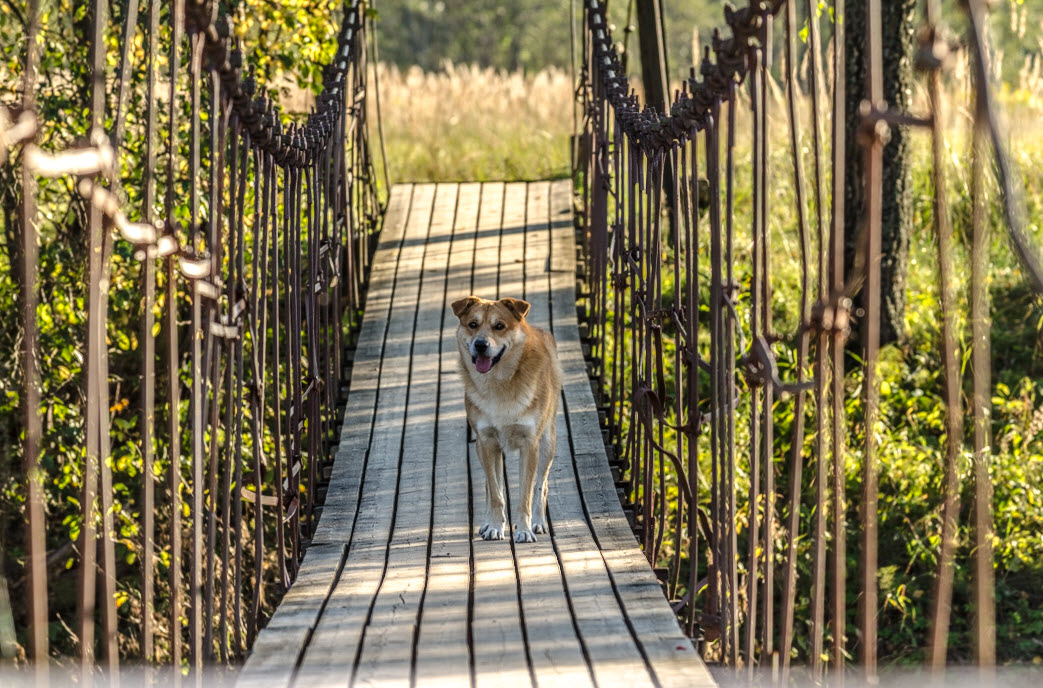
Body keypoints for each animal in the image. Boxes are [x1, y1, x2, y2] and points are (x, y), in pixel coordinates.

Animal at [450, 296, 563, 542]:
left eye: (499, 326)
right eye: (472, 324)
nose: (480, 344)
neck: (499, 383)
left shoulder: (530, 445)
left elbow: (525, 495)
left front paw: (524, 530)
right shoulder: (486, 442)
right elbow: (495, 493)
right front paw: (494, 526)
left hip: (547, 443)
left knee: (541, 485)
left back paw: (538, 522)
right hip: (482, 450)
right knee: (491, 485)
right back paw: (487, 523)